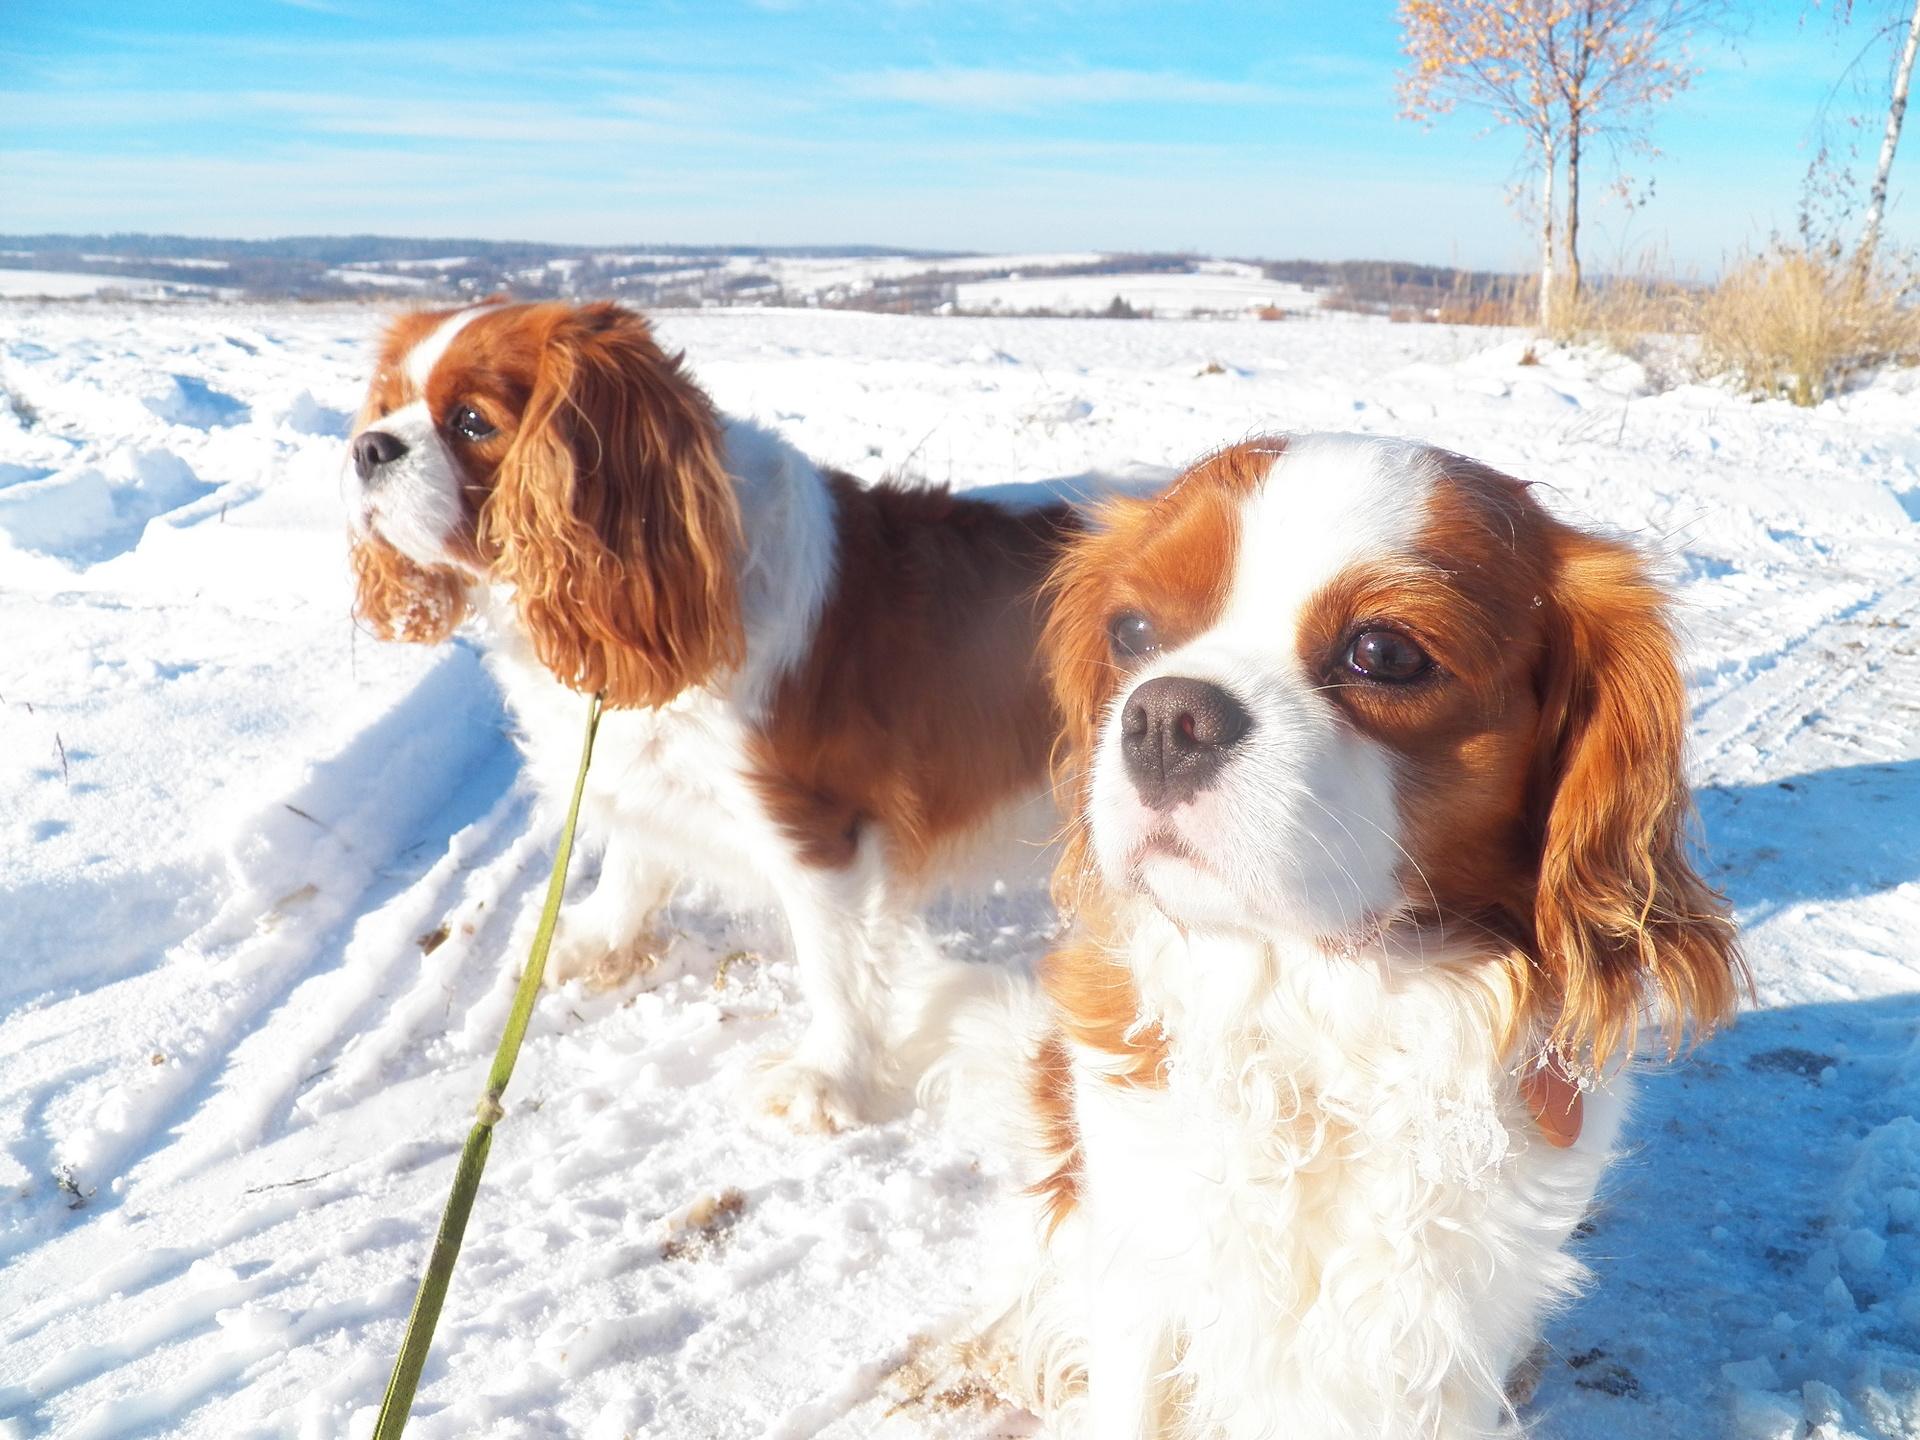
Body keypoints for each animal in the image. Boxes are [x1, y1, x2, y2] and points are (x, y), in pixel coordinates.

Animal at [344, 299, 1076, 1130]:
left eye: (471, 421)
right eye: (388, 402)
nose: (368, 446)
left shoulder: (816, 829)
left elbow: (835, 964)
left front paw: (826, 1077)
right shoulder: (633, 766)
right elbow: (632, 860)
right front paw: (592, 940)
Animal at [976, 433, 1743, 1436]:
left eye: (1383, 653)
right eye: (1132, 633)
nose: (1164, 715)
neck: (1324, 1005)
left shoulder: (1453, 1336)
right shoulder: (1144, 1267)